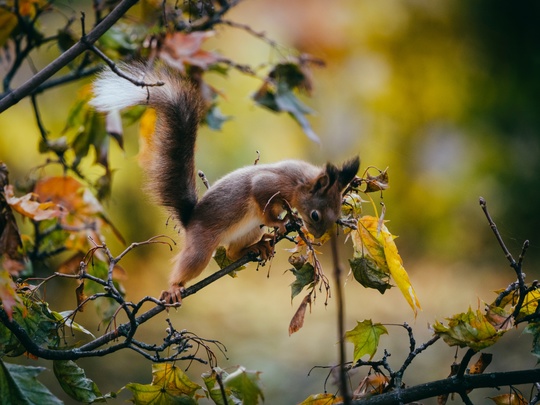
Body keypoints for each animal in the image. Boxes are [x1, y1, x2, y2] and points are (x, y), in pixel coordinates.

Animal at [89, 62, 358, 304]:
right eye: (315, 215)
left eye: (335, 216)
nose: (317, 235)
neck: (300, 181)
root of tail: (190, 220)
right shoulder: (268, 184)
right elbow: (262, 203)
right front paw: (280, 222)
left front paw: (287, 220)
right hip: (201, 246)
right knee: (193, 262)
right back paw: (174, 287)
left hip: (248, 230)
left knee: (231, 251)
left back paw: (258, 247)